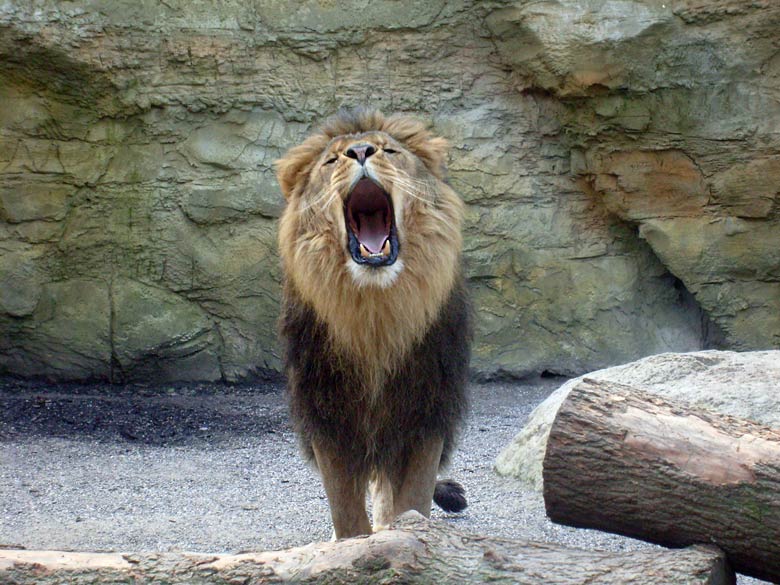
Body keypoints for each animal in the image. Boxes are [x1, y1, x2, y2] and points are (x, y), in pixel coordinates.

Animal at [276, 109, 470, 540]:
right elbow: (345, 512)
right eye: (332, 160)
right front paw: (350, 546)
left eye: (389, 151)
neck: (375, 311)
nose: (361, 151)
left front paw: (404, 537)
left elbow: (413, 498)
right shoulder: (329, 415)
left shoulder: (427, 411)